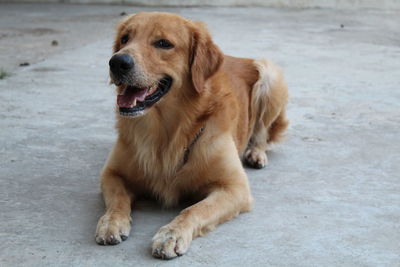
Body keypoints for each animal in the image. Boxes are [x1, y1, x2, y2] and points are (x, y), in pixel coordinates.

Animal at [94, 11, 288, 260]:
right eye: (125, 39)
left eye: (163, 43)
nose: (117, 62)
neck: (166, 132)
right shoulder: (111, 173)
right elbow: (117, 199)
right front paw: (111, 222)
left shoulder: (235, 187)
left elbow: (194, 209)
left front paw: (171, 234)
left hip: (269, 74)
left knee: (262, 133)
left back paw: (256, 153)